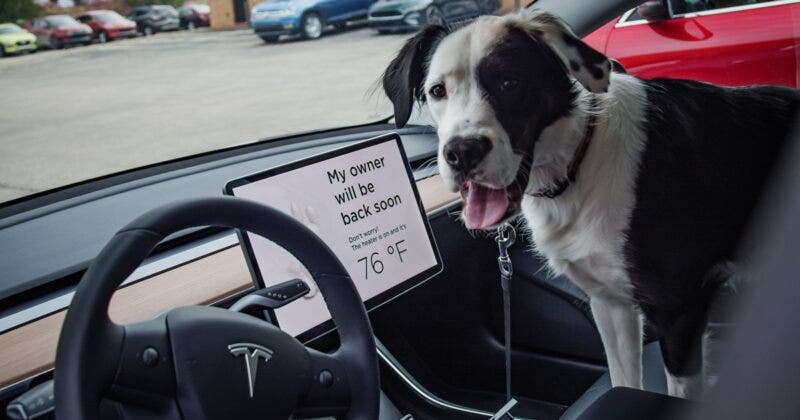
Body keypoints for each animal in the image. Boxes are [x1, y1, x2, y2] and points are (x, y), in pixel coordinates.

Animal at [382, 11, 800, 400]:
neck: (576, 162)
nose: (461, 153)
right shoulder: (610, 304)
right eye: (438, 91)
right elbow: (624, 380)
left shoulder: (679, 312)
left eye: (509, 83)